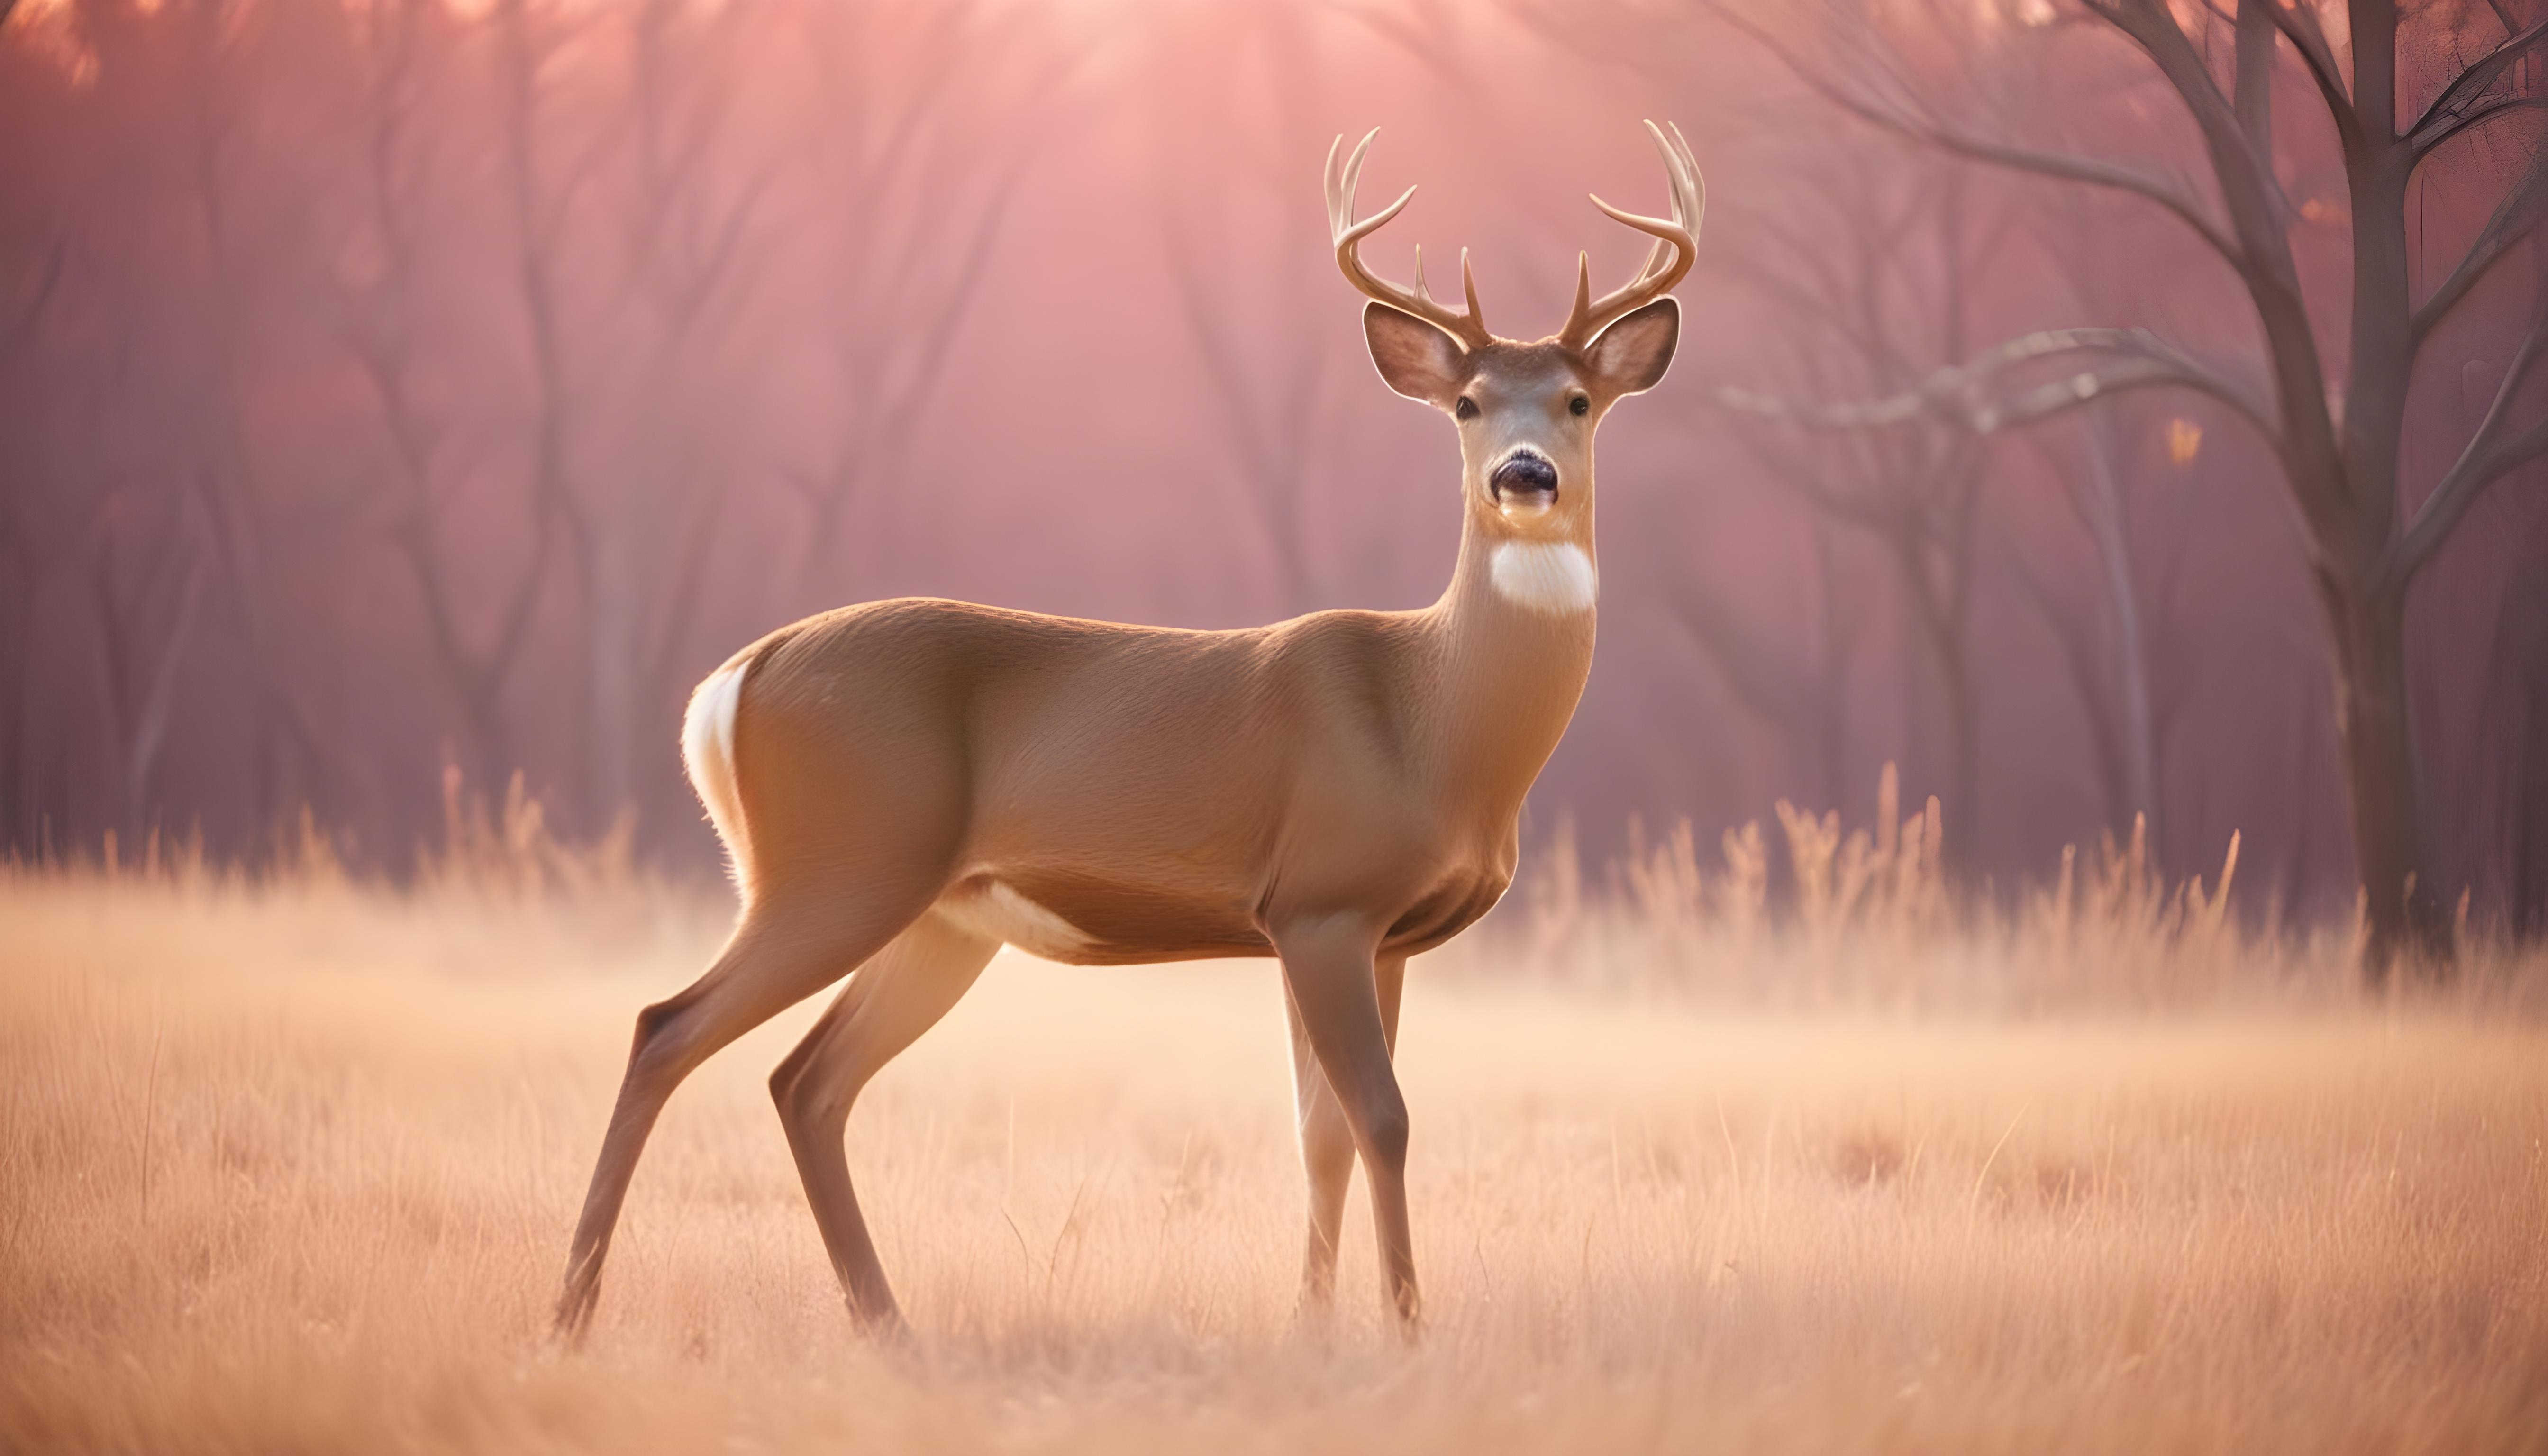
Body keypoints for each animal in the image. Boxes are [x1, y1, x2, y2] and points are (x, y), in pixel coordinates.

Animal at [553, 122, 1702, 1341]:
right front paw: (1403, 1324)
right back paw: (574, 1310)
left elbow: (1324, 1132)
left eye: (1577, 401)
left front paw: (1313, 1322)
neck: (1434, 722)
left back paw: (886, 1322)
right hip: (839, 865)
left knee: (806, 1080)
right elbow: (1382, 1117)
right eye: (1469, 405)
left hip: (941, 914)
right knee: (667, 1025)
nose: (1524, 476)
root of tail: (733, 679)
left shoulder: (1371, 931)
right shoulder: (1323, 900)